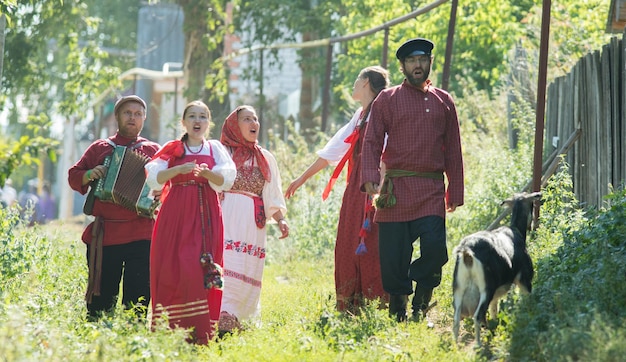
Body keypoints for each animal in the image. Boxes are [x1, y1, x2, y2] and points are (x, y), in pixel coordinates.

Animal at [450, 191, 540, 346]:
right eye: (532, 205)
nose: (533, 224)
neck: (515, 232)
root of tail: (467, 251)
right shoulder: (524, 279)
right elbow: (528, 298)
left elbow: (493, 309)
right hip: (486, 288)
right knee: (478, 316)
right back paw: (479, 345)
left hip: (459, 289)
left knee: (456, 319)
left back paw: (456, 347)